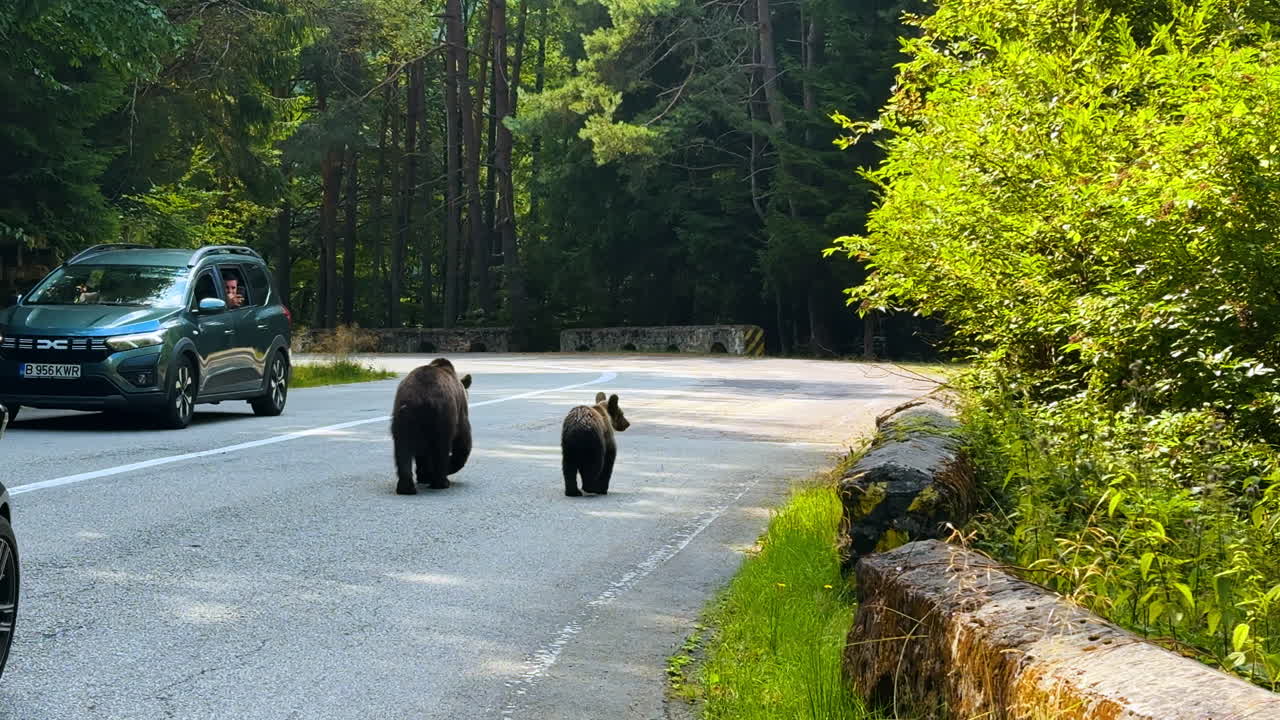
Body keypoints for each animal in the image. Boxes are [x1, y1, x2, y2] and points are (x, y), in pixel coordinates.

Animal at [390, 358, 473, 494]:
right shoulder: (460, 412)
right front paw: (449, 467)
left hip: (403, 416)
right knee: (442, 446)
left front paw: (424, 475)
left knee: (402, 448)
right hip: (443, 415)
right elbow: (463, 440)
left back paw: (406, 487)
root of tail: (421, 398)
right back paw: (441, 482)